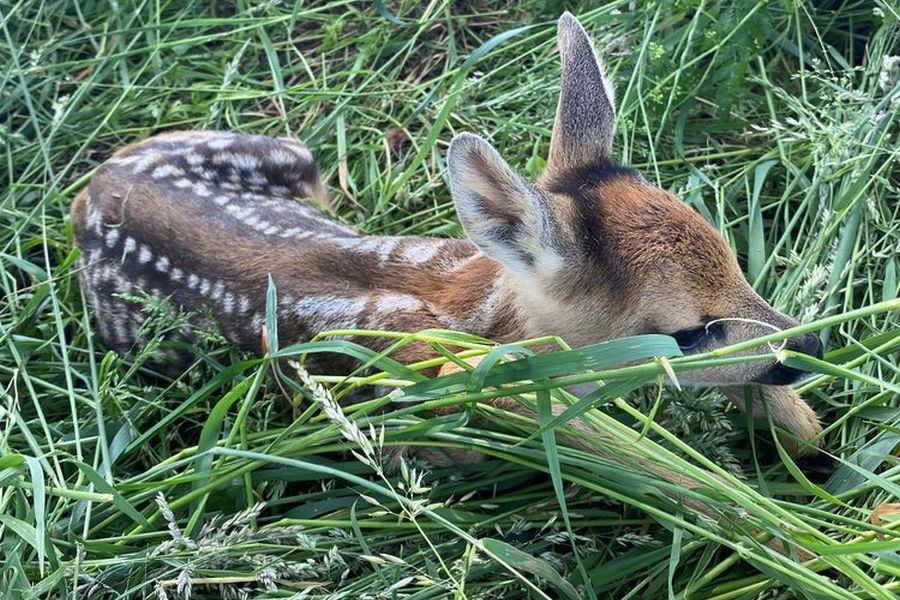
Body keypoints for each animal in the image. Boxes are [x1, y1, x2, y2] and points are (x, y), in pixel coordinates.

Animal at [72, 14, 824, 462]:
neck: (475, 321)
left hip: (290, 154)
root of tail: (91, 190)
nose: (813, 348)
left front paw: (807, 437)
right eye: (687, 332)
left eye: (735, 259)